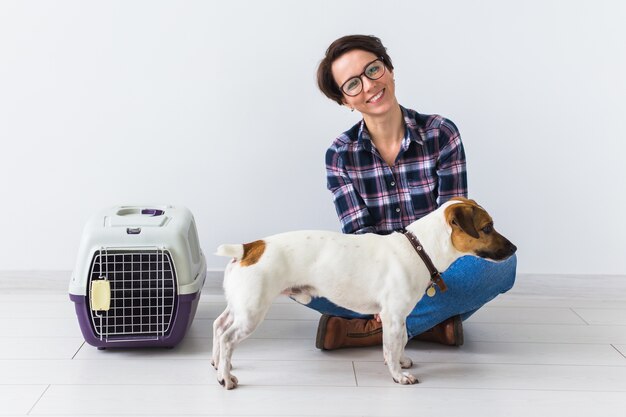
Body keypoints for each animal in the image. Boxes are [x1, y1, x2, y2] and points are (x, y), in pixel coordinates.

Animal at [212, 197, 516, 388]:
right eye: (487, 227)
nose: (514, 248)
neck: (419, 248)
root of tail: (249, 247)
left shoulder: (398, 317)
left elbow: (401, 341)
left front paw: (401, 361)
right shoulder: (392, 316)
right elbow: (392, 345)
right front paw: (398, 374)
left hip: (239, 306)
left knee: (219, 326)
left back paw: (218, 365)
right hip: (252, 312)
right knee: (227, 338)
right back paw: (227, 379)